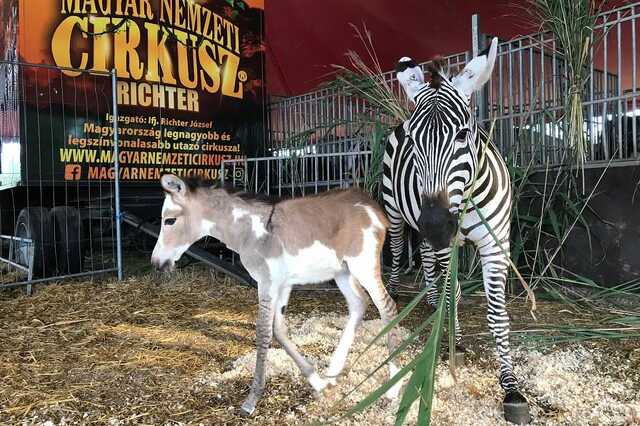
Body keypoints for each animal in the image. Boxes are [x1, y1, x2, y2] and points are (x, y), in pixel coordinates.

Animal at [382, 38, 530, 424]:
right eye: (414, 142)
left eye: (463, 134)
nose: (435, 224)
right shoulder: (445, 243)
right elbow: (454, 292)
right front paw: (454, 343)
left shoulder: (496, 245)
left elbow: (496, 313)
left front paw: (511, 388)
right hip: (394, 210)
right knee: (399, 250)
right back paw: (395, 293)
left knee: (426, 261)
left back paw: (433, 304)